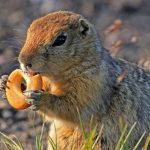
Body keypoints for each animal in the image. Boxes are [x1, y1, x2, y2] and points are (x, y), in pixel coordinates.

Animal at [0, 10, 150, 149]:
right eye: (30, 30)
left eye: (60, 39)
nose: (23, 60)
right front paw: (5, 83)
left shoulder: (92, 85)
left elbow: (73, 107)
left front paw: (41, 98)